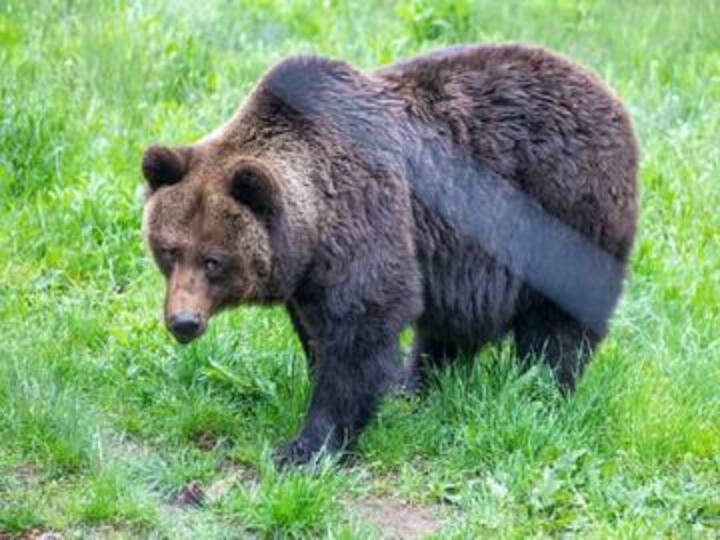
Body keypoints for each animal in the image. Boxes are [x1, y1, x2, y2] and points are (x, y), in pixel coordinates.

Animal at [143, 44, 640, 464]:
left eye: (214, 259)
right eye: (169, 250)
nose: (183, 321)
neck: (312, 230)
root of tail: (610, 95)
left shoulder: (365, 211)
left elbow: (363, 322)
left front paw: (305, 446)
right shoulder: (310, 273)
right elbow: (318, 332)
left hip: (564, 212)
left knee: (558, 324)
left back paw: (540, 390)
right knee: (449, 328)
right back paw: (419, 385)